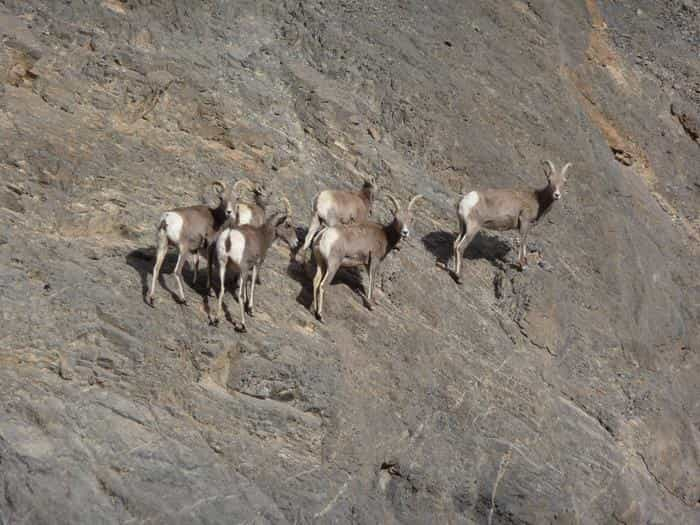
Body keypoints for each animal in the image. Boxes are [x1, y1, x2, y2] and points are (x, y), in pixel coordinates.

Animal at [206, 194, 296, 330]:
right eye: (288, 225)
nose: (296, 242)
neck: (262, 236)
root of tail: (229, 238)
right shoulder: (256, 265)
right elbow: (252, 284)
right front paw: (251, 309)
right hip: (241, 269)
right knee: (240, 294)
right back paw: (243, 325)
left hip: (222, 265)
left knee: (221, 289)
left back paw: (216, 320)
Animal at [310, 192, 422, 322]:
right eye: (396, 218)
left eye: (411, 219)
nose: (405, 232)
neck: (385, 235)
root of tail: (323, 235)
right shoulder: (374, 261)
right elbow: (372, 281)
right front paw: (371, 305)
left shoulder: (366, 263)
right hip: (333, 265)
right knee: (323, 286)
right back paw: (321, 316)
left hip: (321, 264)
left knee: (315, 281)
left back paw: (314, 311)